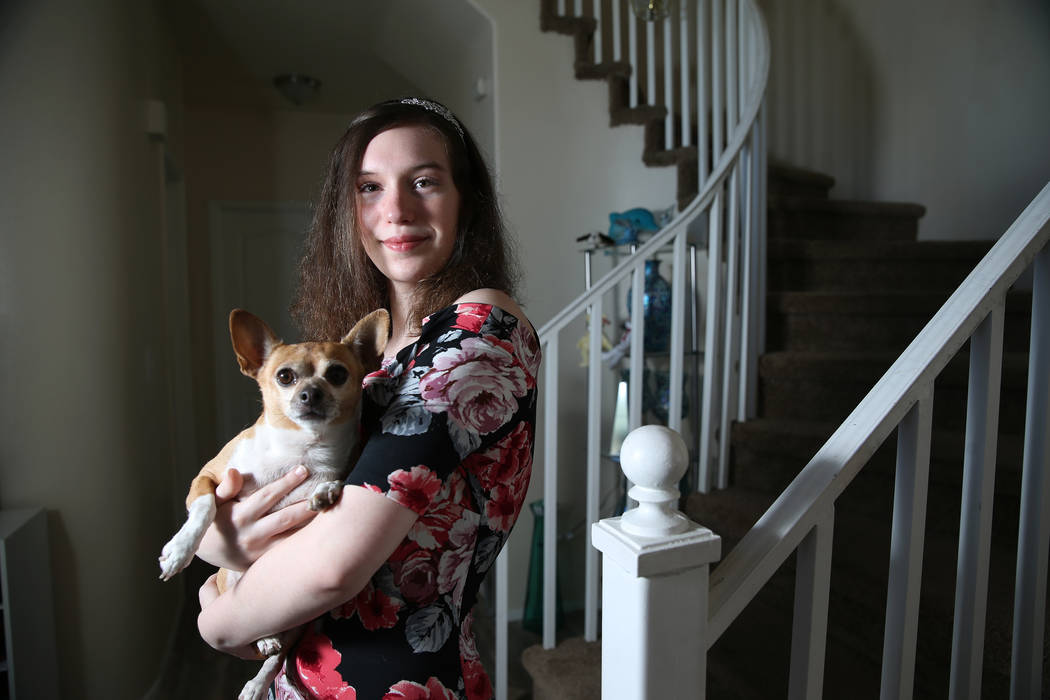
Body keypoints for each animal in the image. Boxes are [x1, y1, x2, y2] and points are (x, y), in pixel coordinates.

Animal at [161, 308, 392, 700]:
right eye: (285, 376)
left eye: (337, 374)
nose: (310, 393)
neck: (299, 449)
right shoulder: (206, 478)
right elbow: (205, 508)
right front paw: (179, 550)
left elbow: (334, 480)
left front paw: (327, 489)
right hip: (233, 580)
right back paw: (265, 640)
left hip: (299, 623)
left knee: (277, 657)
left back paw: (258, 680)